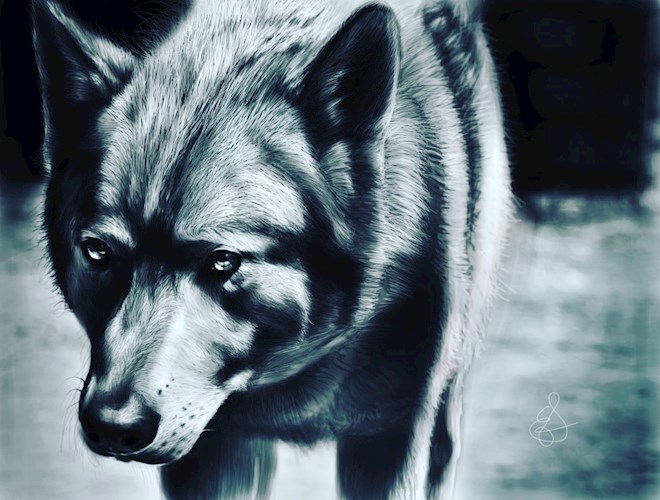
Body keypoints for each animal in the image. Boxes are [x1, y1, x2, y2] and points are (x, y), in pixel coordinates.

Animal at [32, 0, 511, 498]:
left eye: (223, 261)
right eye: (98, 253)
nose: (112, 426)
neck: (290, 381)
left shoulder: (387, 440)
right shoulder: (214, 451)